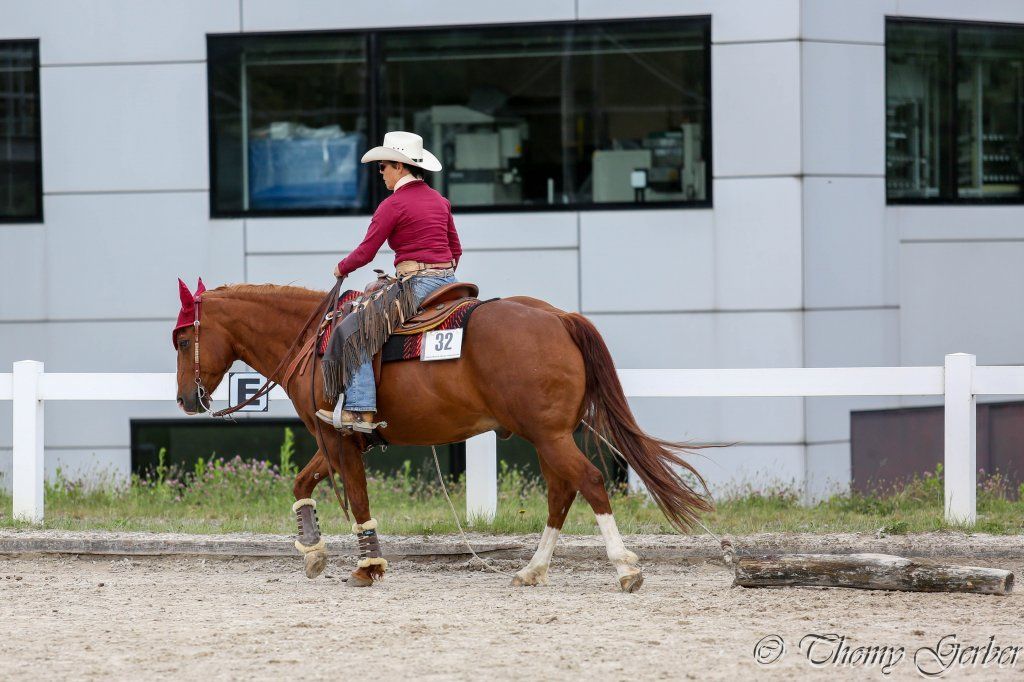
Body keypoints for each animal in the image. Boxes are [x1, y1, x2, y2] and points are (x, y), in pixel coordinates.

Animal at [172, 281, 711, 592]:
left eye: (182, 339)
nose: (185, 399)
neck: (311, 343)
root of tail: (559, 317)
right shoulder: (336, 438)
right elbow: (303, 483)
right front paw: (313, 550)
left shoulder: (339, 440)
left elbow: (357, 497)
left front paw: (368, 567)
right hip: (549, 437)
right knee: (562, 492)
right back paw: (533, 570)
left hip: (550, 436)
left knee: (591, 482)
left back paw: (624, 568)